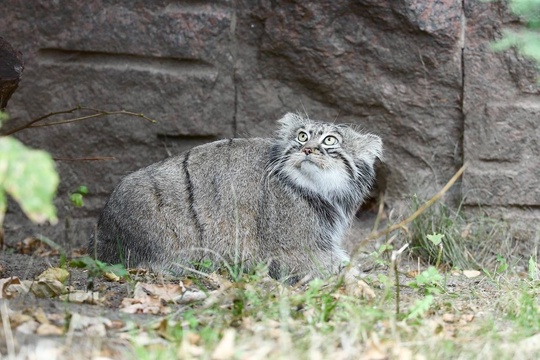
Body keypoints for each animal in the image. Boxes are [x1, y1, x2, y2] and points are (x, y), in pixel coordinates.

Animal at [88, 114, 382, 282]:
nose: (307, 149)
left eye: (330, 140)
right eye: (302, 136)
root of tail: (101, 232)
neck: (318, 190)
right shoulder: (296, 252)